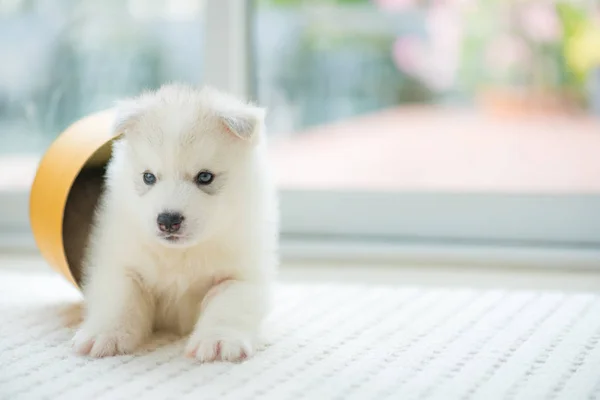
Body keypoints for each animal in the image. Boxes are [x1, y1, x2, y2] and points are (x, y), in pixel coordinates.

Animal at [71, 83, 278, 360]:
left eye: (205, 177)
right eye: (148, 177)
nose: (168, 220)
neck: (182, 254)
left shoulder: (242, 276)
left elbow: (228, 305)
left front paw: (217, 341)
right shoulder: (121, 265)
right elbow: (119, 300)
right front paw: (104, 335)